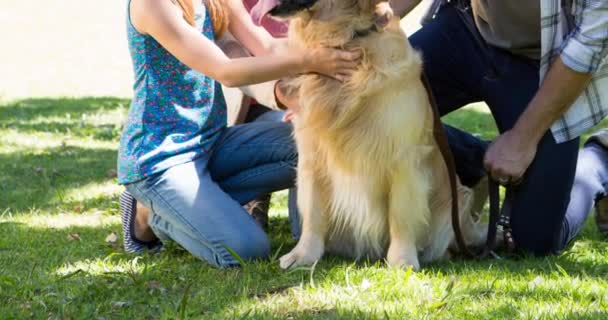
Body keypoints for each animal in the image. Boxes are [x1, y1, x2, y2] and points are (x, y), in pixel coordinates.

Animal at [249, 0, 486, 270]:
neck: (348, 38)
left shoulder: (404, 158)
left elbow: (401, 214)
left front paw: (402, 261)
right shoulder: (311, 155)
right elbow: (312, 212)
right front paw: (303, 255)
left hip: (458, 201)